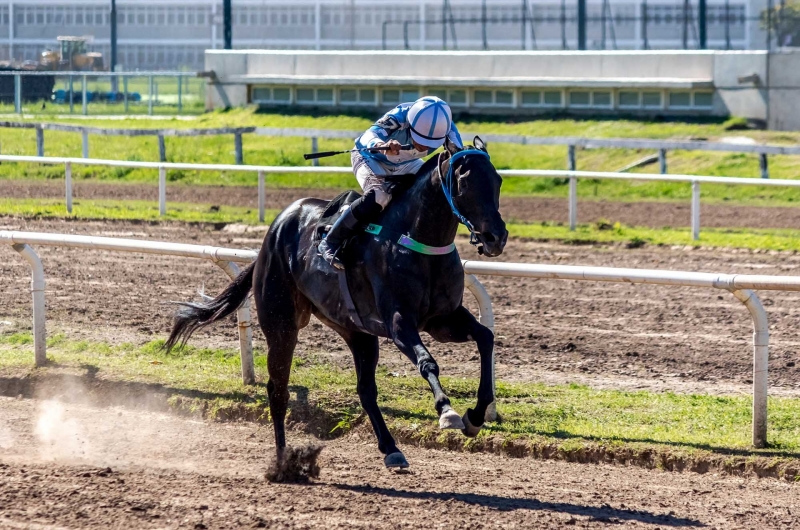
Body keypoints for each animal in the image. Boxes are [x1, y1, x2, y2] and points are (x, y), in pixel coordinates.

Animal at [166, 135, 510, 466]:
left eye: (497, 180)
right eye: (463, 181)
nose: (496, 237)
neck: (417, 241)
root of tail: (271, 235)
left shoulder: (442, 319)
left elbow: (485, 337)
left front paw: (476, 415)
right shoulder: (399, 322)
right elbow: (427, 361)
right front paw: (447, 411)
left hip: (356, 331)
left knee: (366, 391)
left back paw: (391, 449)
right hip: (282, 324)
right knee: (278, 389)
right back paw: (282, 460)